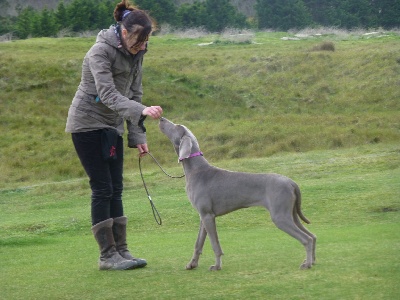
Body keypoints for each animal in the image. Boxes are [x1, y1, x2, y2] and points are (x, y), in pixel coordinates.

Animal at [158, 118, 318, 272]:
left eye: (176, 126)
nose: (161, 118)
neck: (196, 170)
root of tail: (291, 182)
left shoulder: (208, 216)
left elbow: (215, 245)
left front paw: (217, 266)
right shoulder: (203, 216)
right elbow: (198, 243)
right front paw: (192, 264)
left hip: (280, 216)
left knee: (306, 239)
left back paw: (307, 264)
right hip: (291, 214)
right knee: (313, 236)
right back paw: (312, 261)